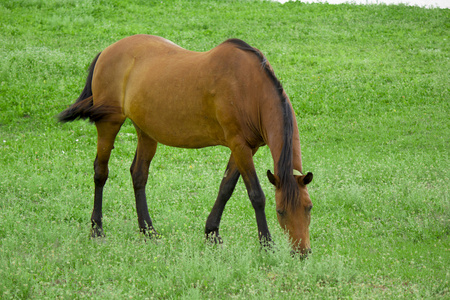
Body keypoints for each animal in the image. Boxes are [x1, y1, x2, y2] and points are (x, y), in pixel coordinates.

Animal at [59, 34, 312, 255]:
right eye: (280, 211)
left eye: (309, 207)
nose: (302, 252)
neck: (250, 88)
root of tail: (107, 51)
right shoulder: (239, 145)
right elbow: (256, 195)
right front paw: (267, 244)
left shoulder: (245, 147)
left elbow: (225, 189)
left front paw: (212, 233)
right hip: (109, 123)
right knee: (100, 172)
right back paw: (97, 229)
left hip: (146, 131)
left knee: (138, 174)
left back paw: (148, 231)